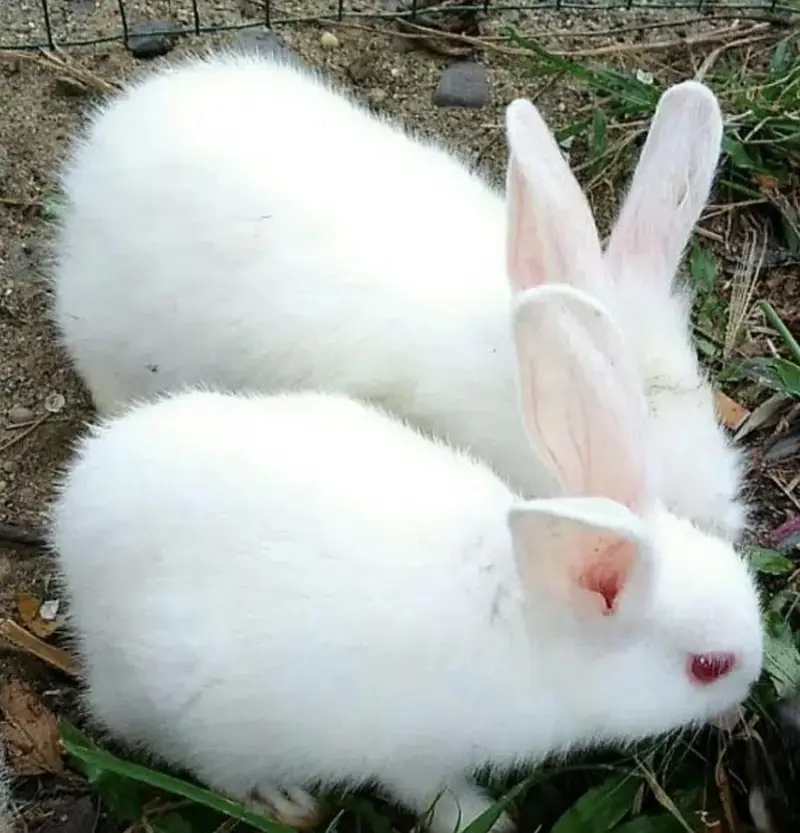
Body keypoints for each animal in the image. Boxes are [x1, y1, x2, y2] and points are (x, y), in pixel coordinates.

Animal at [49, 280, 763, 833]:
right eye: (708, 667)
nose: (748, 693)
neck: (529, 621)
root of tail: (73, 518)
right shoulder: (413, 751)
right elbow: (431, 793)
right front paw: (489, 822)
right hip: (189, 707)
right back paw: (283, 800)